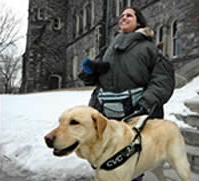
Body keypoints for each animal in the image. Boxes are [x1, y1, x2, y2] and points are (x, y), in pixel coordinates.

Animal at [44, 105, 190, 180]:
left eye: (74, 122)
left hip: (181, 166)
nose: (47, 139)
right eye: (60, 121)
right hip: (156, 166)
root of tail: (172, 123)